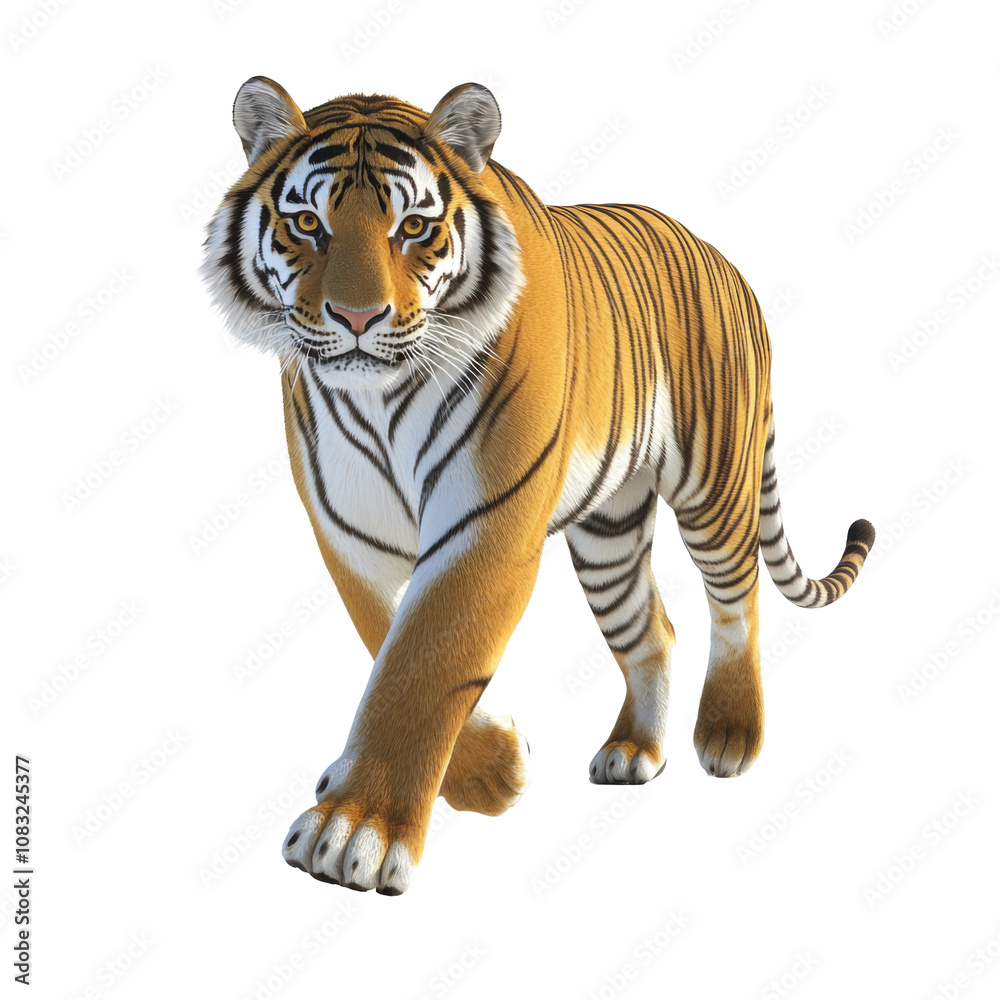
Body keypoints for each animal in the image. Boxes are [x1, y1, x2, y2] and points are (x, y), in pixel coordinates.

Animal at [202, 77, 875, 896]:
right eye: (306, 223)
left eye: (414, 227)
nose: (358, 317)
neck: (376, 397)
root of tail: (723, 262)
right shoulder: (348, 532)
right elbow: (386, 640)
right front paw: (489, 773)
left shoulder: (487, 522)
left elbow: (425, 661)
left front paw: (356, 830)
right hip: (610, 532)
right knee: (653, 629)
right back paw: (635, 752)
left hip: (714, 485)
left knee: (736, 599)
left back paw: (729, 732)